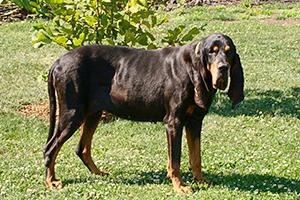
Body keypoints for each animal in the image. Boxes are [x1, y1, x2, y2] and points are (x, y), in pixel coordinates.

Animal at [44, 32, 244, 192]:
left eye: (228, 52)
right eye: (212, 51)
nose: (223, 68)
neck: (191, 68)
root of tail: (57, 63)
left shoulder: (195, 121)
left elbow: (196, 156)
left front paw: (201, 180)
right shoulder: (174, 123)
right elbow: (175, 160)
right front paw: (180, 186)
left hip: (93, 113)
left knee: (82, 149)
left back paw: (98, 172)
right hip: (72, 114)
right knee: (50, 148)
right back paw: (51, 181)